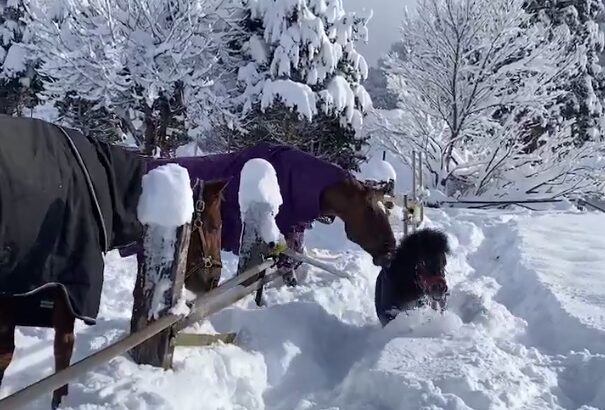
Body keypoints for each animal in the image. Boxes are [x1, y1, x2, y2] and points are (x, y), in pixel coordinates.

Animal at [121, 143, 396, 290]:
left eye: (388, 209)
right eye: (370, 211)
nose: (390, 250)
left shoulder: (293, 234)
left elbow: (292, 264)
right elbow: (286, 269)